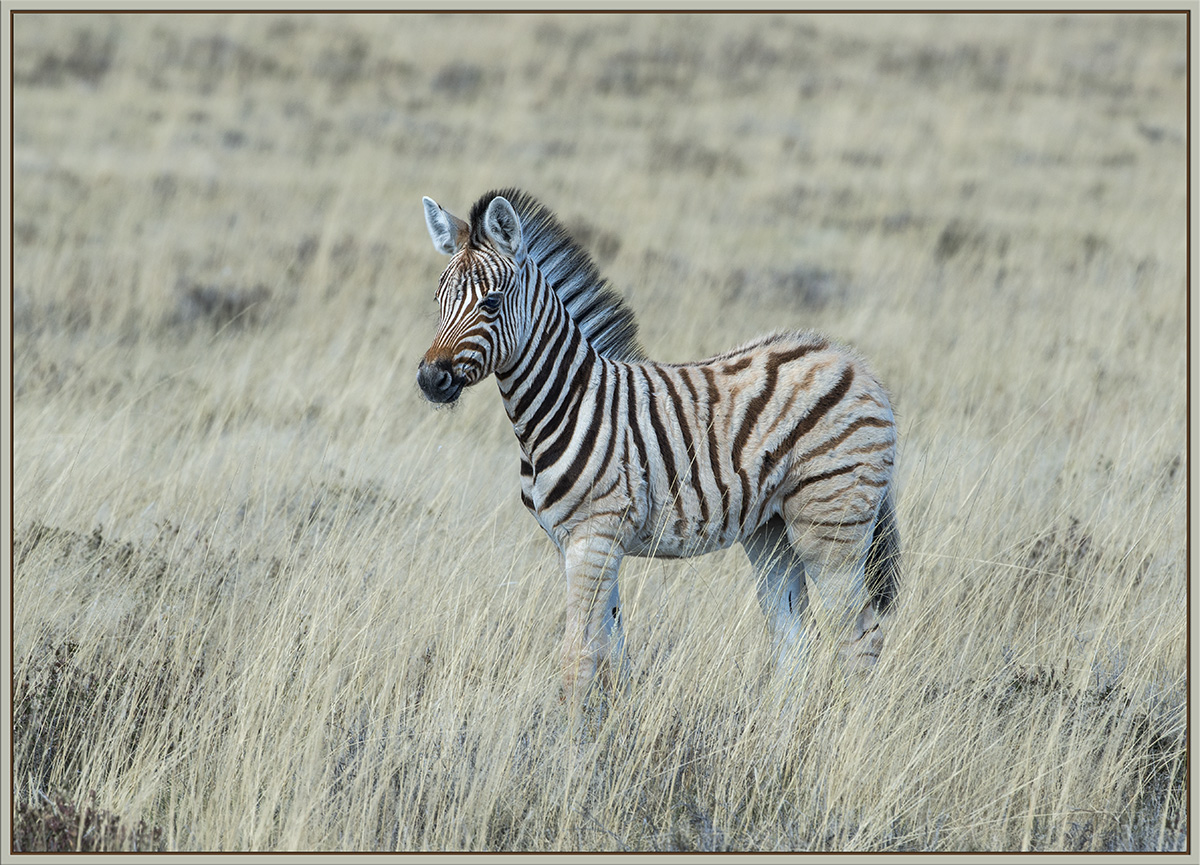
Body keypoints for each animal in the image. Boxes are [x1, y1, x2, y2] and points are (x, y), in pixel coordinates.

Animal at [417, 188, 899, 711]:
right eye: (438, 299)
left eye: (490, 302)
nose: (430, 379)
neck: (566, 403)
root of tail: (851, 361)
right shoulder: (587, 544)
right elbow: (612, 654)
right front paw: (617, 724)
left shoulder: (593, 537)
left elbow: (577, 659)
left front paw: (573, 733)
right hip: (771, 531)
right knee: (793, 637)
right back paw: (779, 727)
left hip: (832, 523)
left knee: (860, 635)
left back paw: (848, 724)